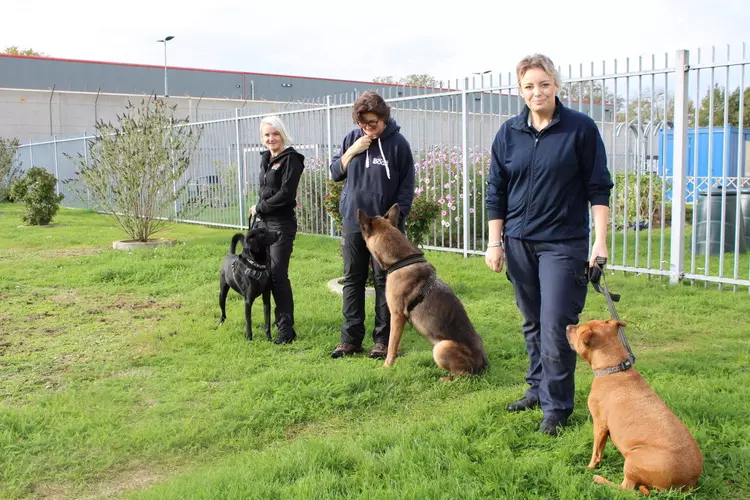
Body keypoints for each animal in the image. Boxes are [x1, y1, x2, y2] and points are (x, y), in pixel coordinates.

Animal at [360, 202, 494, 378]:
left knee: (463, 375)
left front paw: (387, 366)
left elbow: (391, 345)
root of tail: (483, 364)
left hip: (441, 347)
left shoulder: (397, 315)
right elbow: (395, 342)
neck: (401, 260)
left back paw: (443, 377)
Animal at [568, 320, 704, 496]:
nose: (568, 326)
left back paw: (600, 479)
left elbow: (596, 452)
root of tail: (686, 485)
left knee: (626, 489)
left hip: (632, 459)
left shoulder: (599, 425)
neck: (614, 368)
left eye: (578, 329)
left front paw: (590, 467)